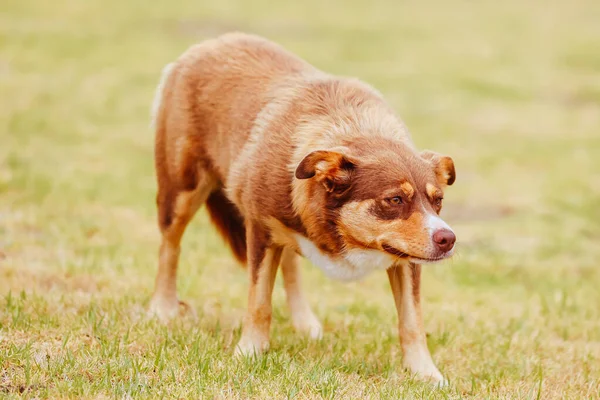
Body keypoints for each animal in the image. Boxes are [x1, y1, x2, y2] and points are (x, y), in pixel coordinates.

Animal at [149, 32, 454, 384]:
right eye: (394, 200)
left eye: (438, 200)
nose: (448, 239)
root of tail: (211, 42)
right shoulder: (260, 230)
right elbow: (259, 301)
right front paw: (250, 352)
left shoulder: (407, 260)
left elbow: (411, 320)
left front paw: (425, 373)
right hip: (182, 192)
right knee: (170, 246)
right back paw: (163, 307)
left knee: (290, 263)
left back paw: (304, 322)